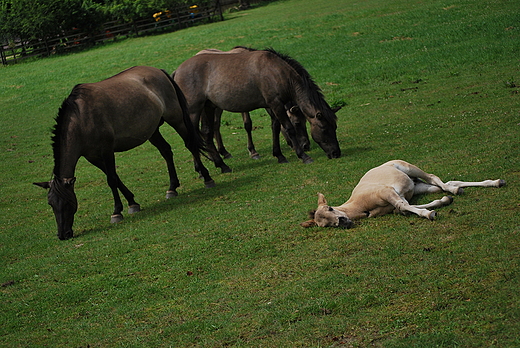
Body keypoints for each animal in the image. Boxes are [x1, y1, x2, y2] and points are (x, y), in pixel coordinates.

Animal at [34, 65, 214, 239]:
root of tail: (159, 71)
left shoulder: (107, 150)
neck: (82, 119)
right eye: (51, 203)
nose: (63, 235)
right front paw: (132, 203)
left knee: (190, 145)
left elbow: (112, 179)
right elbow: (115, 178)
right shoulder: (93, 157)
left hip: (175, 119)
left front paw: (116, 212)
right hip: (152, 131)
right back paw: (172, 188)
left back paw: (206, 178)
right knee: (166, 151)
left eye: (66, 202)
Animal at [174, 46, 342, 171]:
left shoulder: (272, 106)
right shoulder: (276, 104)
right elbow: (288, 128)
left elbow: (275, 128)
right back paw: (202, 172)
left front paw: (279, 155)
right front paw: (303, 156)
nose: (336, 153)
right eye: (325, 129)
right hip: (194, 112)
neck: (277, 71)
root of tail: (177, 71)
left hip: (208, 107)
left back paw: (222, 165)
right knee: (193, 138)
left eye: (335, 127)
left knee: (207, 134)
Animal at [300, 160, 504, 228]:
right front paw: (443, 202)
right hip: (420, 186)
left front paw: (429, 214)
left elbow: (404, 206)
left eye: (330, 208)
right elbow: (405, 208)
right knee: (444, 185)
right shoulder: (397, 201)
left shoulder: (388, 192)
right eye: (324, 225)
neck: (359, 205)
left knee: (434, 178)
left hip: (410, 169)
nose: (343, 222)